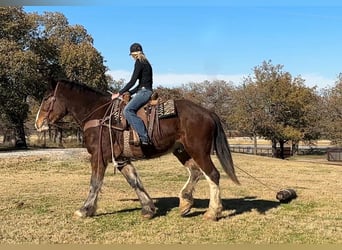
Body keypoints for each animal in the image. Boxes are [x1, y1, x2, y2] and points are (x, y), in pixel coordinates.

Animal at [34, 79, 238, 221]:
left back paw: (213, 212)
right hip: (181, 150)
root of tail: (207, 112)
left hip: (199, 150)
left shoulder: (99, 157)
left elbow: (95, 183)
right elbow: (134, 181)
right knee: (195, 172)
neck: (99, 115)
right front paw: (148, 208)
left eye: (45, 99)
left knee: (212, 174)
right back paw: (185, 203)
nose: (38, 123)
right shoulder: (121, 159)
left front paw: (84, 210)